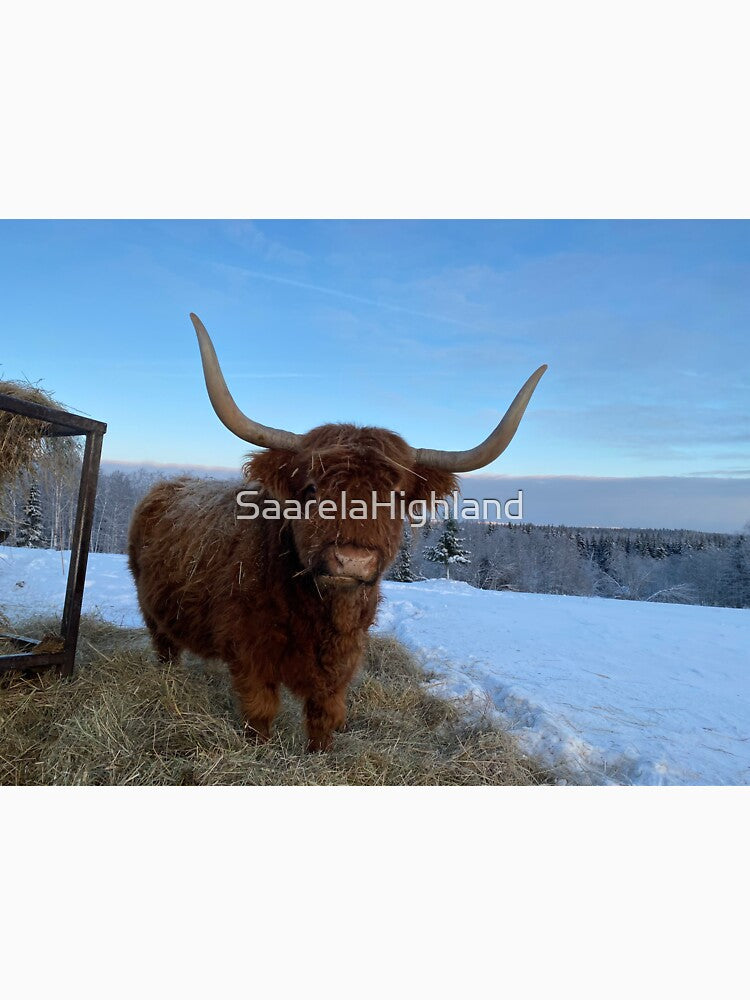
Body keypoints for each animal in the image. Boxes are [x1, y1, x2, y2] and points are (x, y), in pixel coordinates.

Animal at [128, 314, 546, 751]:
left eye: (396, 496)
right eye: (312, 489)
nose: (353, 560)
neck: (321, 613)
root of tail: (168, 485)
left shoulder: (342, 660)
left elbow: (324, 715)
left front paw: (320, 753)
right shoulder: (251, 654)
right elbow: (259, 713)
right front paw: (258, 749)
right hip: (150, 608)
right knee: (165, 647)